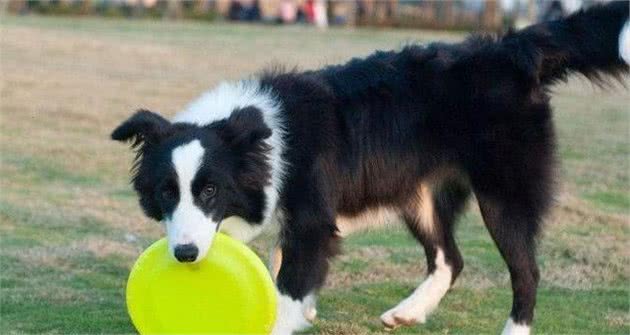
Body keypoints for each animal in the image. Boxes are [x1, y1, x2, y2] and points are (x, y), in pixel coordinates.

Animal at [113, 3, 630, 335]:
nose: (183, 255)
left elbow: (289, 287)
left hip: (504, 190)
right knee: (450, 258)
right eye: (166, 192)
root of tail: (511, 51)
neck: (257, 138)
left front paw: (290, 316)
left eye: (210, 192)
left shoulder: (312, 219)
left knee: (526, 271)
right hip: (418, 194)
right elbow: (285, 269)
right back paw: (408, 312)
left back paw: (513, 326)